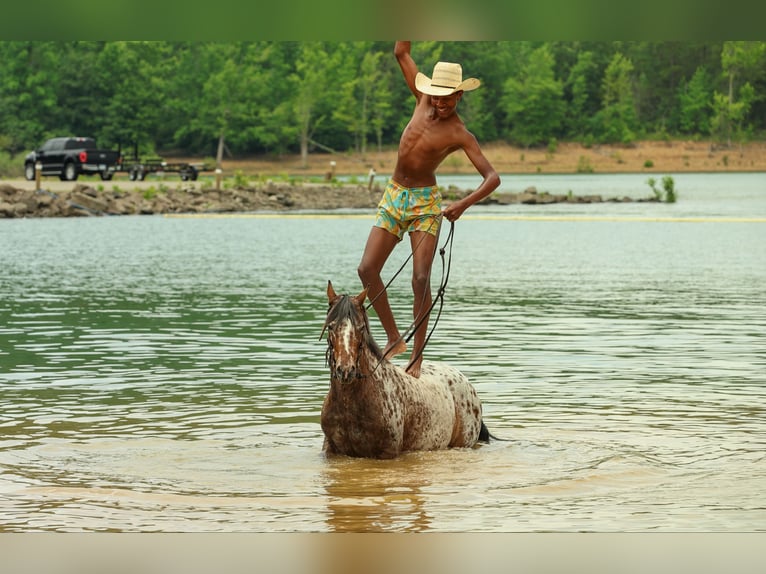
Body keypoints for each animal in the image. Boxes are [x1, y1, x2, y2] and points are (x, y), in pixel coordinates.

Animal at [320, 280, 492, 459]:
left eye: (361, 328)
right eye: (330, 327)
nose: (345, 370)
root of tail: (464, 380)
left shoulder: (387, 453)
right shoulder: (331, 450)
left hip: (463, 443)